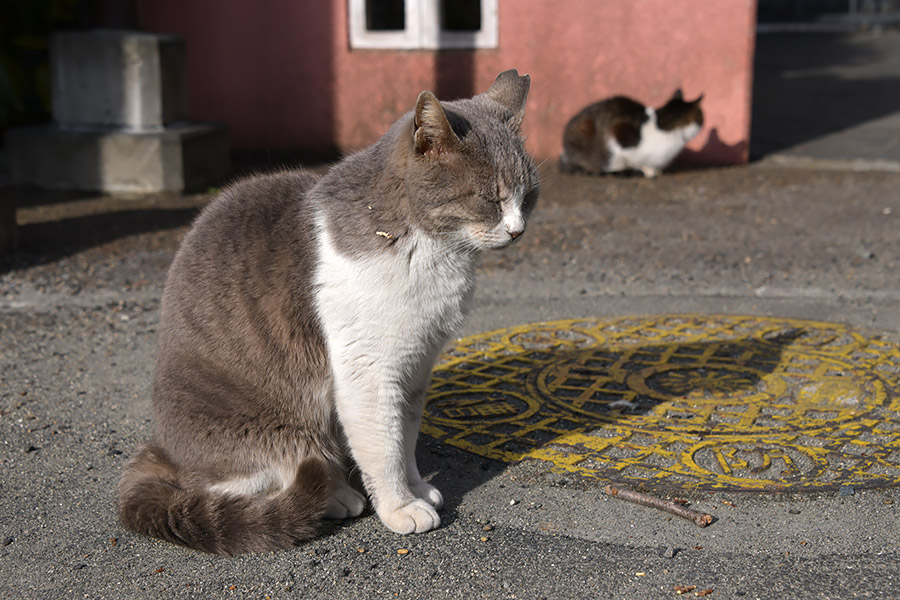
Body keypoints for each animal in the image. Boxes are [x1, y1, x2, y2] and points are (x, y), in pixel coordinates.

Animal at [112, 69, 536, 552]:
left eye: (528, 197)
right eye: (490, 198)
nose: (518, 230)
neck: (437, 255)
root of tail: (162, 449)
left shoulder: (417, 363)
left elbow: (406, 437)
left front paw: (415, 487)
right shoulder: (369, 371)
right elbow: (383, 446)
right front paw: (400, 507)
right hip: (273, 423)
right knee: (270, 474)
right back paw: (335, 496)